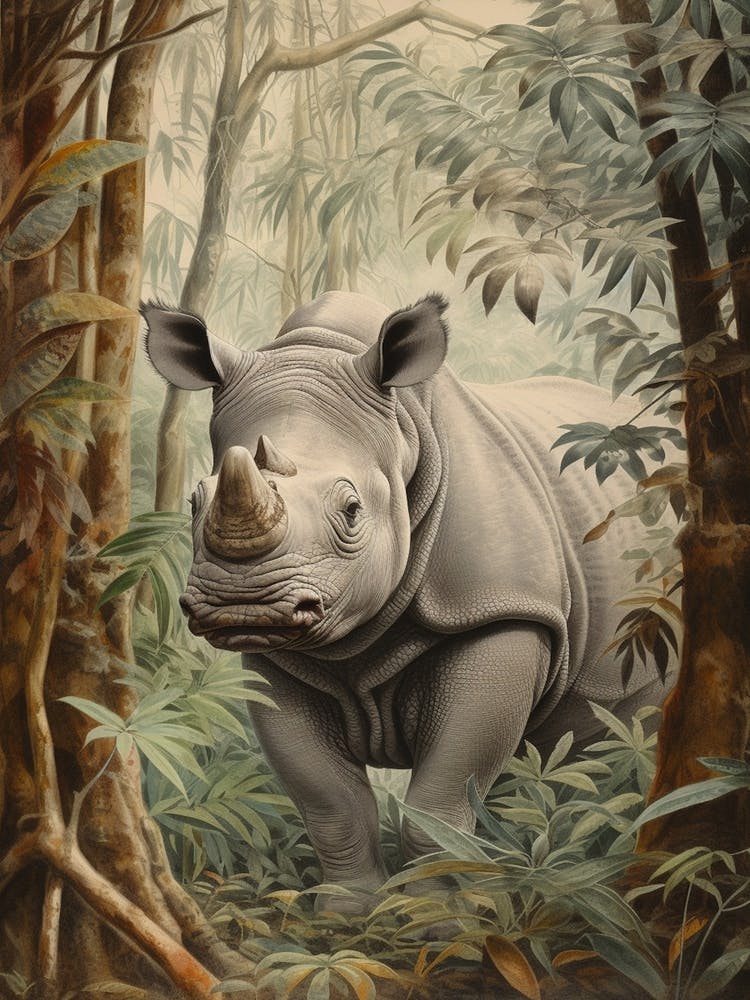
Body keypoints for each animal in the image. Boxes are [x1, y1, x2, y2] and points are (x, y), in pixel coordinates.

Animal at [143, 291, 672, 911]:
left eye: (352, 511)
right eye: (194, 502)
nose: (244, 604)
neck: (406, 435)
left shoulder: (502, 612)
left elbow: (441, 797)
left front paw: (430, 914)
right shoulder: (275, 655)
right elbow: (329, 799)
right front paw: (345, 911)